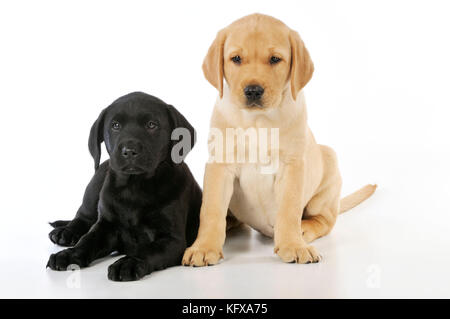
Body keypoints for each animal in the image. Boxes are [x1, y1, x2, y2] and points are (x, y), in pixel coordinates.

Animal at [46, 91, 200, 282]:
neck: (134, 187)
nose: (129, 151)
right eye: (115, 125)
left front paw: (128, 263)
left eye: (152, 125)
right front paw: (69, 255)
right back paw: (65, 233)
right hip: (96, 182)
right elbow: (87, 240)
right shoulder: (105, 226)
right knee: (83, 217)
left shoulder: (173, 239)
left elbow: (148, 250)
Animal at [183, 13, 376, 266]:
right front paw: (204, 247)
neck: (257, 121)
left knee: (325, 219)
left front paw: (293, 245)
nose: (253, 90)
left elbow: (289, 210)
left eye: (275, 59)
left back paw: (305, 228)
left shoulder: (291, 166)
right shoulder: (220, 165)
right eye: (236, 59)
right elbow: (211, 210)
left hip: (329, 163)